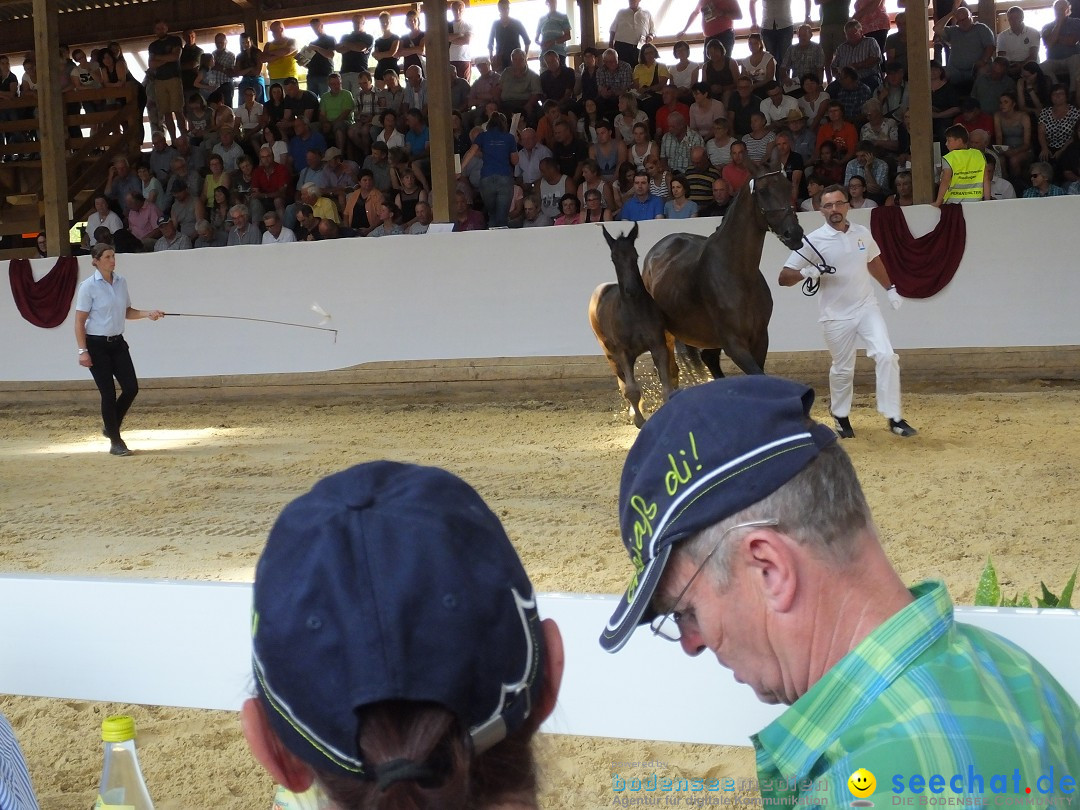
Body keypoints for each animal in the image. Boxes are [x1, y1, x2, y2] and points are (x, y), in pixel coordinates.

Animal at [591, 219, 673, 427]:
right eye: (614, 258)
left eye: (635, 255)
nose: (631, 289)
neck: (634, 311)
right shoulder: (623, 353)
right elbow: (631, 390)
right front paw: (639, 420)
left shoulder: (658, 345)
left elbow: (666, 386)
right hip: (610, 355)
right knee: (623, 383)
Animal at [639, 169, 803, 380]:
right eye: (764, 191)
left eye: (788, 187)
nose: (795, 234)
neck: (738, 272)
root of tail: (655, 252)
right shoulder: (734, 344)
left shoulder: (760, 339)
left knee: (708, 359)